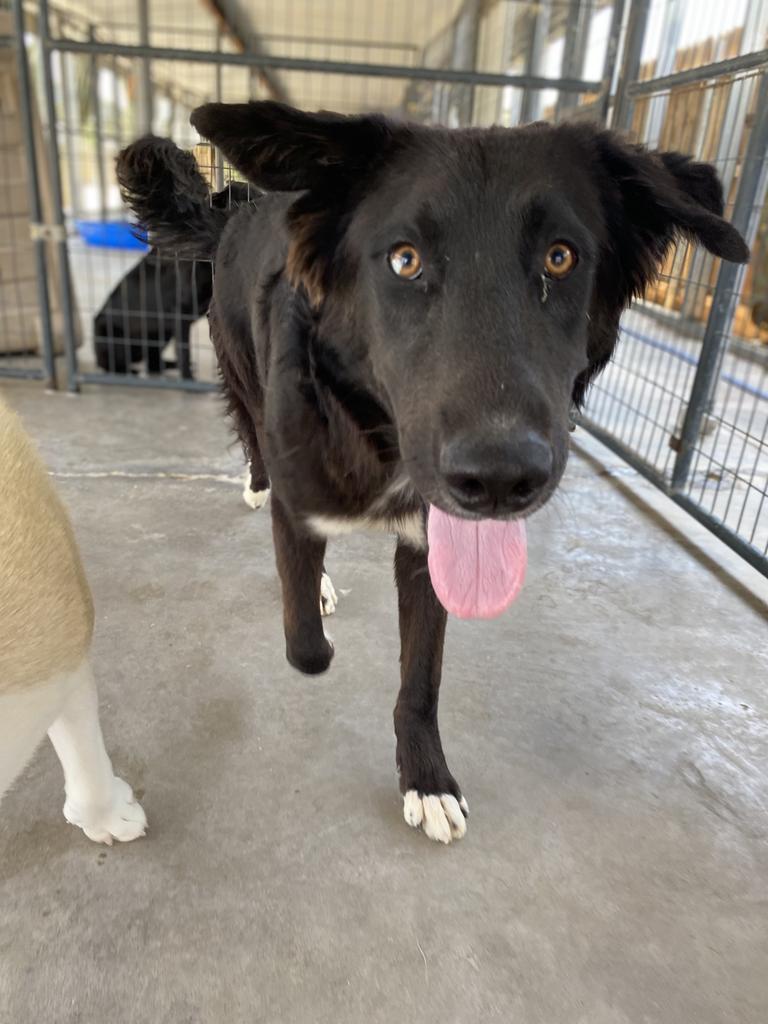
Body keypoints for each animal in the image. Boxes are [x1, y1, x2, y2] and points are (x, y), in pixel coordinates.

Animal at [92, 179, 250, 380]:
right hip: (115, 339)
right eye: (237, 202)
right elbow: (184, 351)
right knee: (111, 365)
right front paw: (188, 379)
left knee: (153, 364)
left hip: (160, 334)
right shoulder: (180, 314)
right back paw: (129, 372)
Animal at [117, 103, 749, 843]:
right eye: (404, 260)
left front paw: (426, 778)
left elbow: (421, 680)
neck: (377, 437)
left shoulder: (429, 551)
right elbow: (305, 643)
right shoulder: (304, 500)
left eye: (561, 258)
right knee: (254, 447)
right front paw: (315, 614)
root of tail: (237, 207)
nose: (500, 481)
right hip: (241, 373)